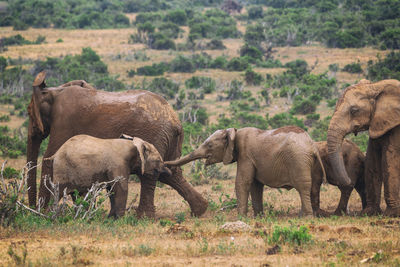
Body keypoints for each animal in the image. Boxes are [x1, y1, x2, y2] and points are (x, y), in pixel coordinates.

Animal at [44, 135, 172, 219]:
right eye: (158, 160)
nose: (169, 172)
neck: (134, 145)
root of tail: (55, 154)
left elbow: (112, 190)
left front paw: (111, 218)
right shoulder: (118, 163)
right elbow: (121, 188)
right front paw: (120, 220)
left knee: (77, 195)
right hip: (62, 169)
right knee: (57, 194)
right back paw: (51, 217)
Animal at [166, 126, 324, 218]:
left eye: (209, 145)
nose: (165, 165)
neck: (233, 132)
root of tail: (312, 145)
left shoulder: (245, 155)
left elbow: (243, 182)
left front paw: (241, 218)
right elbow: (255, 185)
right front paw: (258, 217)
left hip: (299, 160)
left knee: (303, 187)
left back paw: (306, 217)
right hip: (311, 162)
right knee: (314, 187)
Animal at [326, 79, 400, 218]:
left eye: (354, 110)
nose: (350, 180)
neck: (376, 86)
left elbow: (389, 160)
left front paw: (391, 214)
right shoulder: (378, 123)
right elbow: (372, 161)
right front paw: (368, 212)